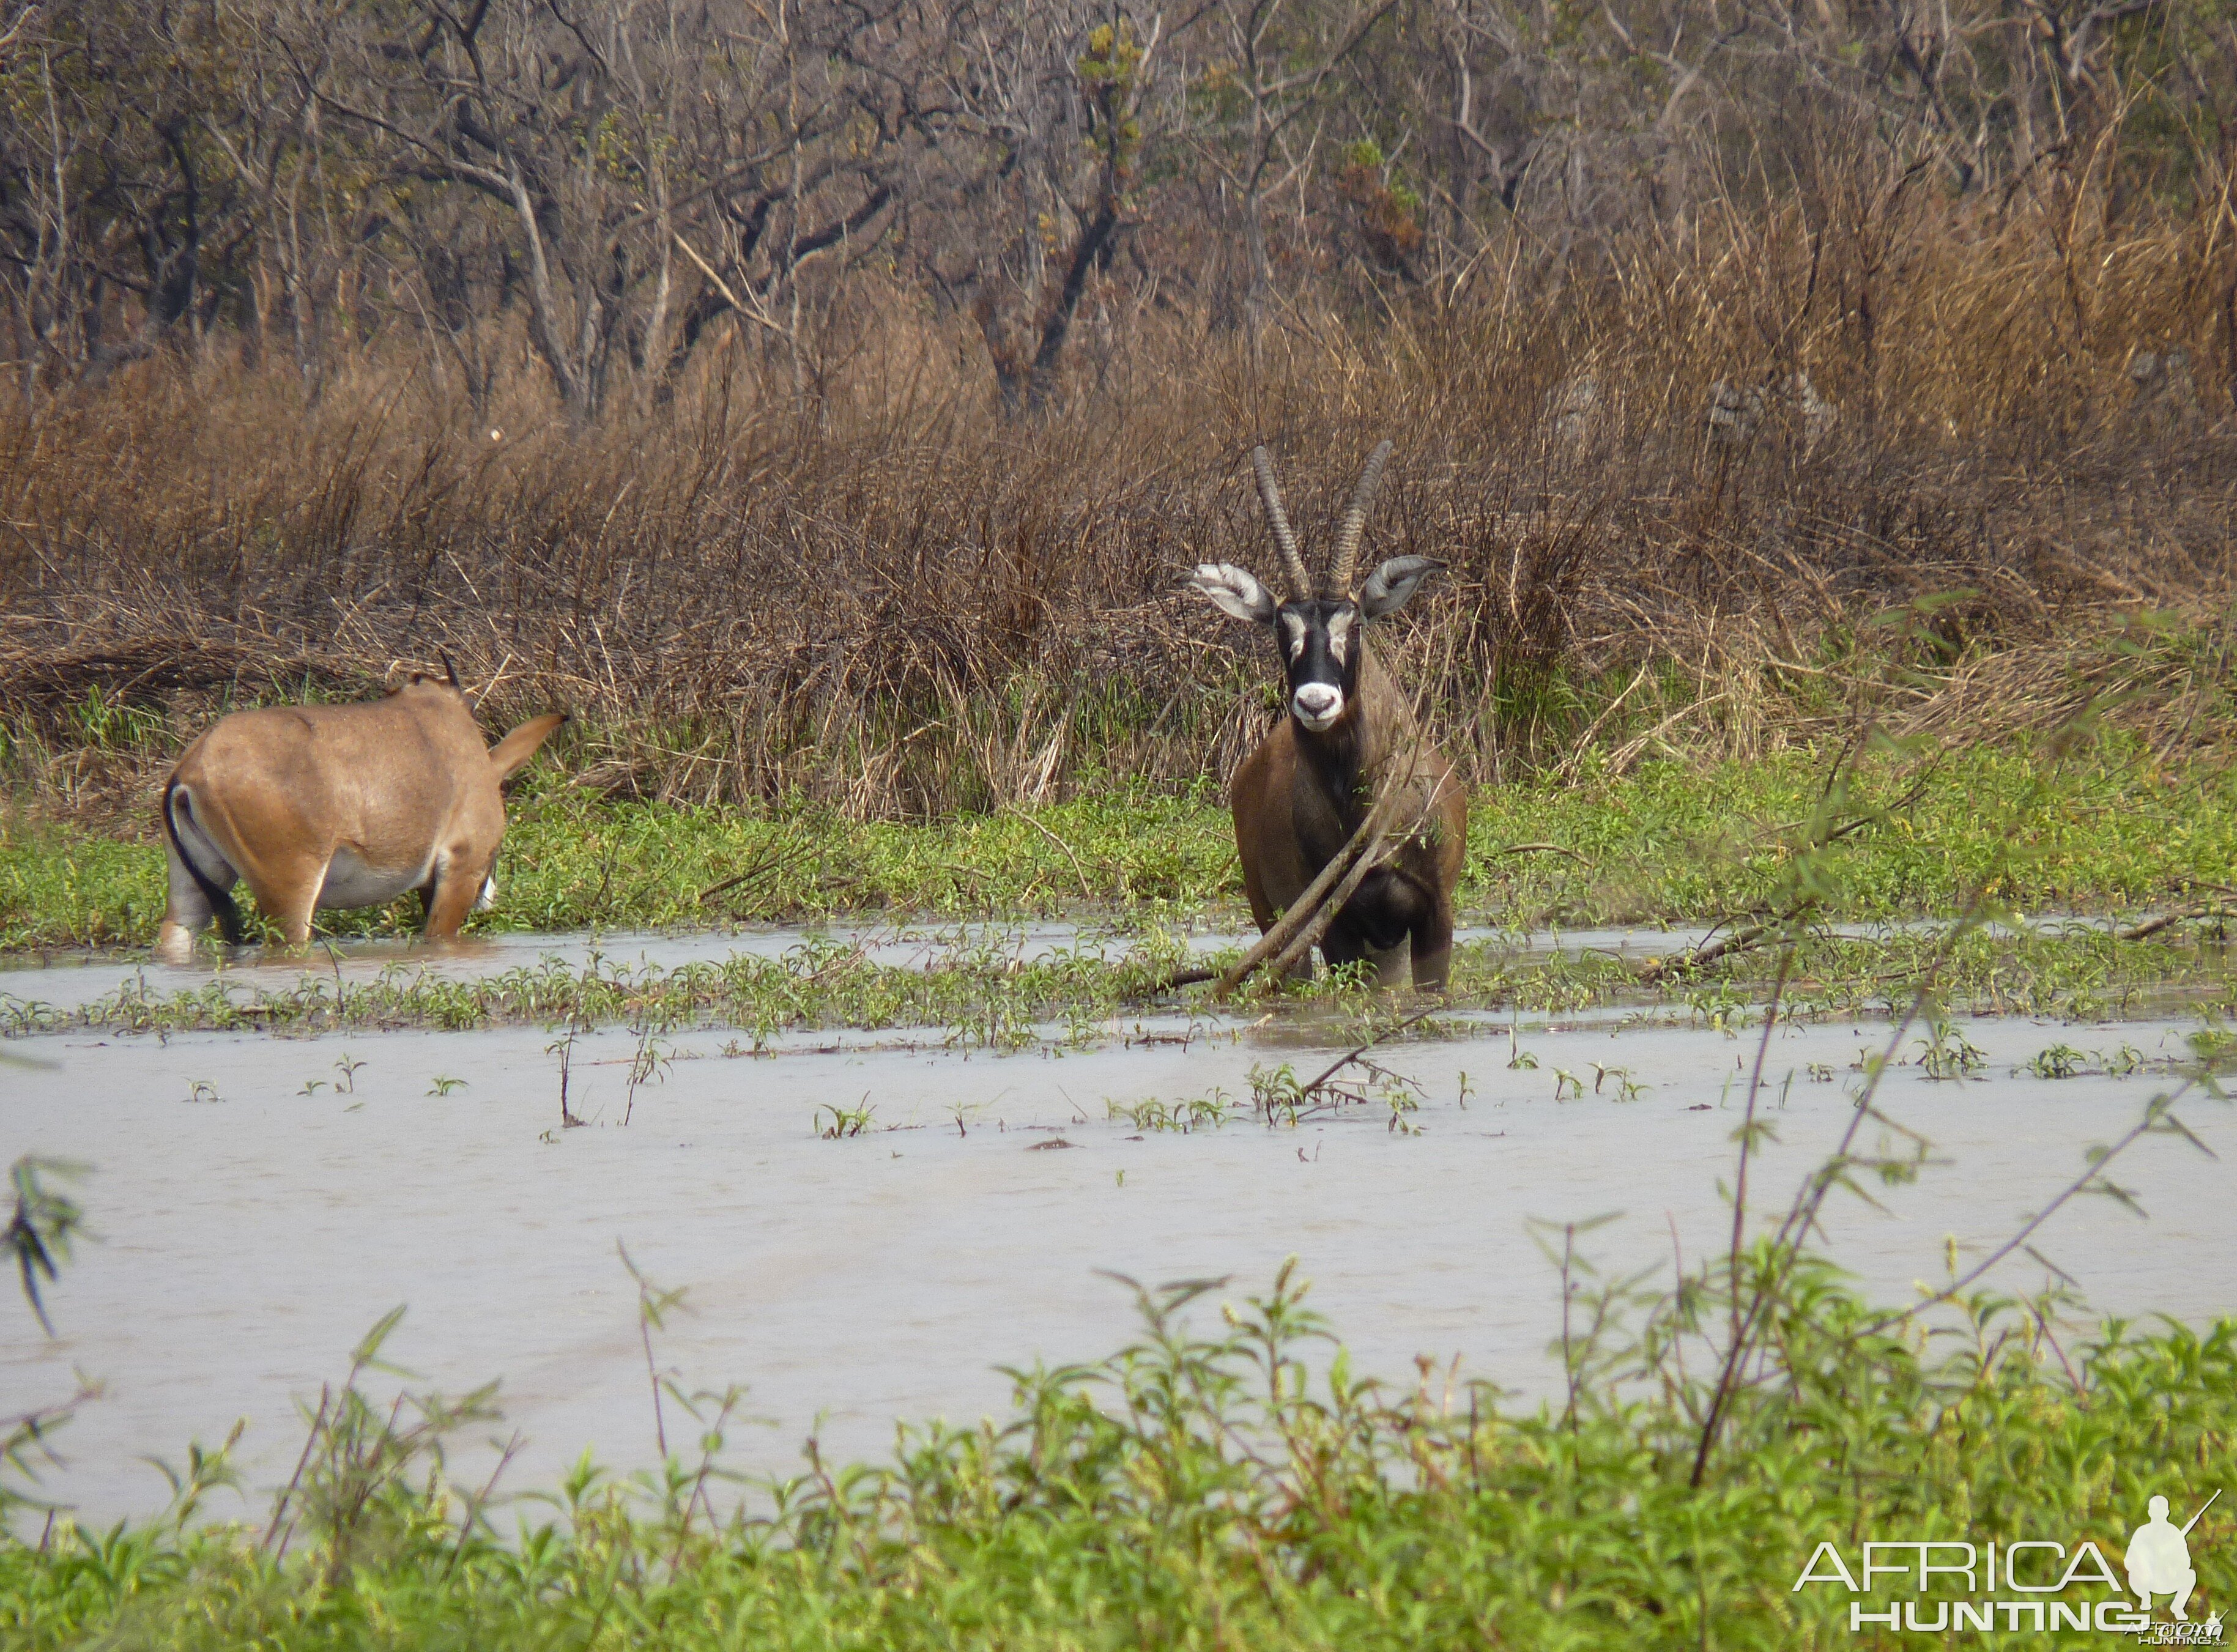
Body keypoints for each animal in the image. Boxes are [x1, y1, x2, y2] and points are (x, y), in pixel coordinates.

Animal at [157, 661, 568, 961]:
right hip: (289, 893)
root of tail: (194, 765)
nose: (489, 899)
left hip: (192, 886)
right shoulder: (461, 869)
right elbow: (439, 937)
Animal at [1190, 442, 1467, 983]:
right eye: (1282, 627)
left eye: (1354, 623)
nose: (1316, 701)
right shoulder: (1335, 925)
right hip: (1278, 922)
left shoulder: (1435, 913)